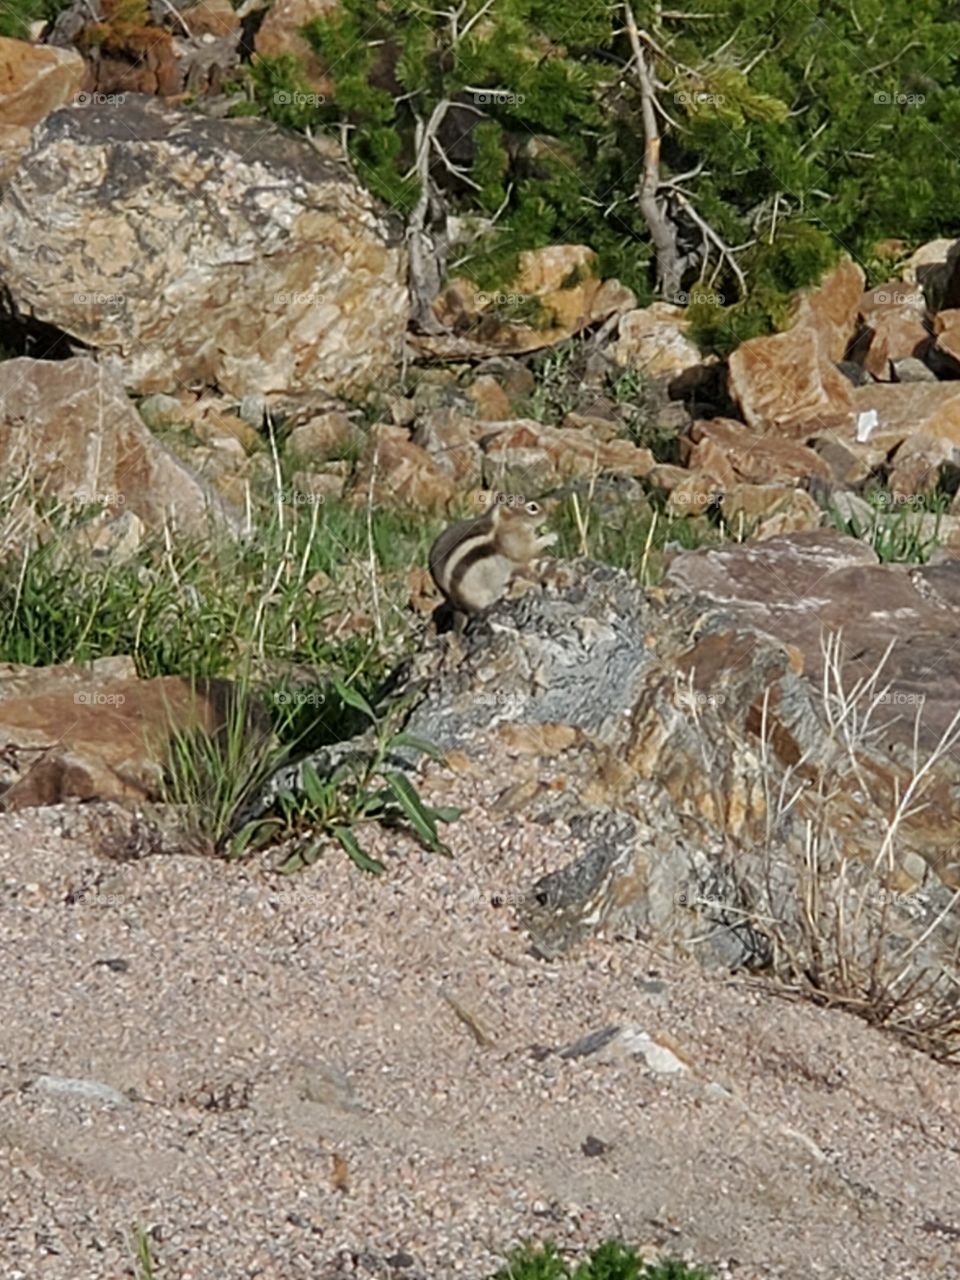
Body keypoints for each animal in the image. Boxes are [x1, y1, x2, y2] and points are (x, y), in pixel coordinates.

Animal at [428, 498, 557, 628]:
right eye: (532, 507)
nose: (548, 514)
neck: (506, 520)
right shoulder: (516, 542)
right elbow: (528, 550)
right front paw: (550, 537)